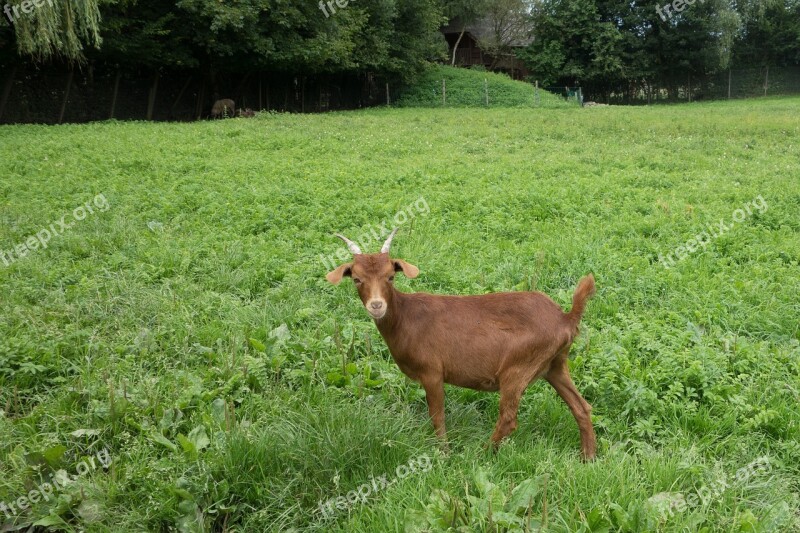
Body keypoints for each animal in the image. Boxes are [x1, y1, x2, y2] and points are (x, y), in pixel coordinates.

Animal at [324, 231, 592, 460]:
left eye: (390, 277)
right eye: (356, 279)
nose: (377, 305)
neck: (405, 317)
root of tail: (565, 318)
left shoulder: (432, 371)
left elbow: (437, 415)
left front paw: (444, 453)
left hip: (518, 367)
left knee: (508, 418)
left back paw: (481, 454)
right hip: (555, 364)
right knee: (582, 407)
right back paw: (588, 458)